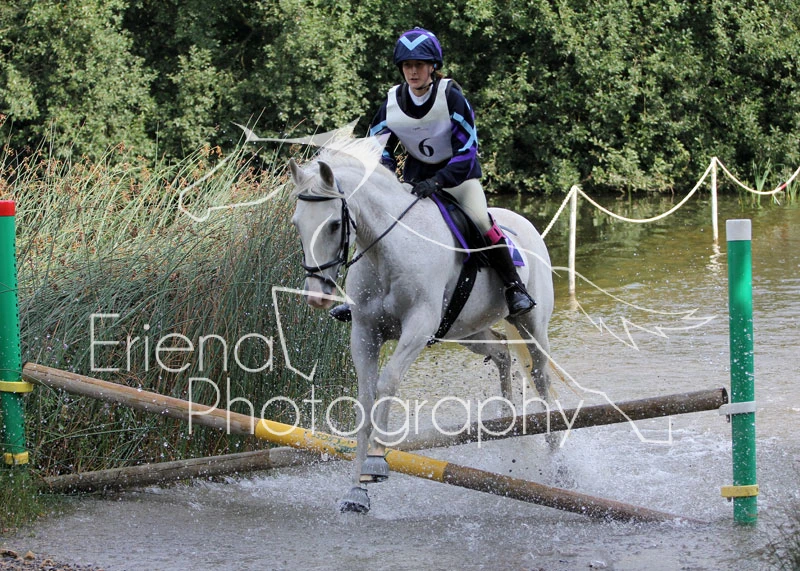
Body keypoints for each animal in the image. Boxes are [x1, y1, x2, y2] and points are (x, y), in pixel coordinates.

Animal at [288, 137, 555, 513]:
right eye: (298, 224)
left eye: (333, 226)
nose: (316, 295)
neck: (387, 248)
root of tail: (525, 223)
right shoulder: (364, 332)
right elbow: (366, 399)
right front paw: (356, 492)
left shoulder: (418, 326)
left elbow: (387, 383)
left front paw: (376, 463)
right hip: (468, 330)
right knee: (502, 353)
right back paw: (506, 424)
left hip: (531, 323)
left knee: (541, 377)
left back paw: (556, 456)